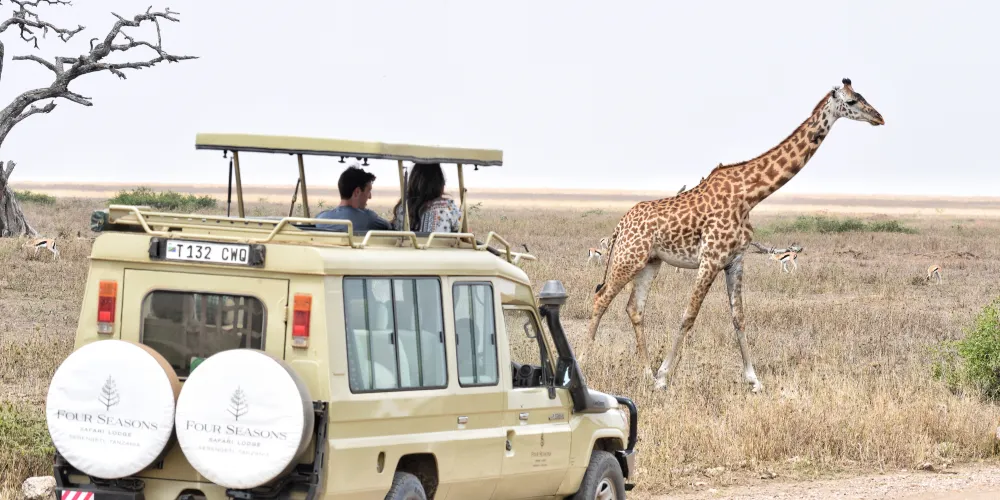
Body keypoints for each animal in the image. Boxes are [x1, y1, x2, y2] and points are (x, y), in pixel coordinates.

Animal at [586, 78, 884, 392]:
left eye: (862, 95)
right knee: (601, 298)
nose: (879, 118)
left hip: (649, 262)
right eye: (851, 101)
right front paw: (665, 377)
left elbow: (738, 317)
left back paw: (646, 373)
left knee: (634, 308)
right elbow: (688, 314)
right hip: (628, 257)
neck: (749, 196)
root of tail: (620, 224)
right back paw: (584, 365)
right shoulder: (710, 259)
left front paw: (754, 380)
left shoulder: (735, 260)